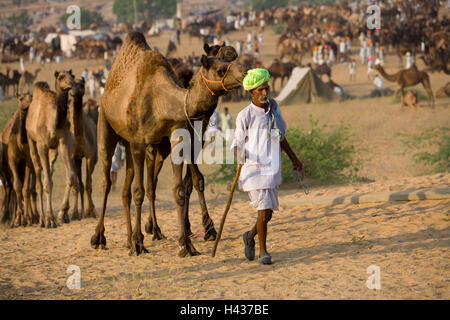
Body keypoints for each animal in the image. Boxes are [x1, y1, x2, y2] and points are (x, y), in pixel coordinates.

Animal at [25, 72, 79, 228]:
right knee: (38, 173)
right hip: (31, 139)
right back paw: (41, 219)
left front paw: (62, 214)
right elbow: (47, 183)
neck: (54, 122)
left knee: (49, 169)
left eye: (72, 75)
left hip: (53, 150)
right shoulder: (42, 144)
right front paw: (49, 219)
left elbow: (71, 176)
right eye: (61, 77)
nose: (72, 84)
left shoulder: (63, 142)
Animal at [91, 32, 246, 256]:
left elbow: (181, 188)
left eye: (228, 60)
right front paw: (139, 244)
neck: (160, 102)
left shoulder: (179, 137)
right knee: (107, 182)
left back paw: (132, 238)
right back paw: (100, 238)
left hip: (134, 145)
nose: (244, 71)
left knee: (129, 190)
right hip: (105, 124)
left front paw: (187, 243)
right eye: (220, 69)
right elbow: (140, 192)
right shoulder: (139, 143)